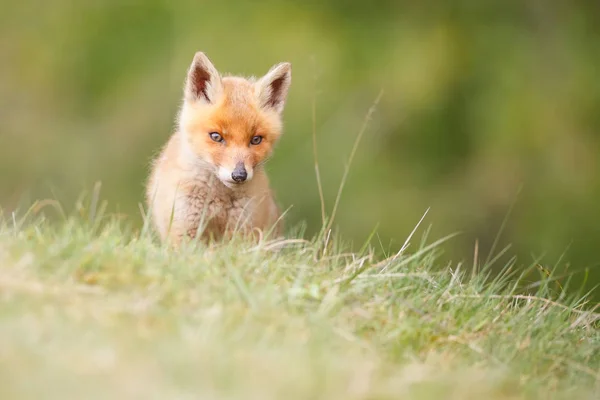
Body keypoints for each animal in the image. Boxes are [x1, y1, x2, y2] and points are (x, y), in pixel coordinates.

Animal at [145, 50, 290, 244]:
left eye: (256, 140)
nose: (239, 175)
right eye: (216, 137)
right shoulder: (182, 229)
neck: (217, 200)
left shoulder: (240, 231)